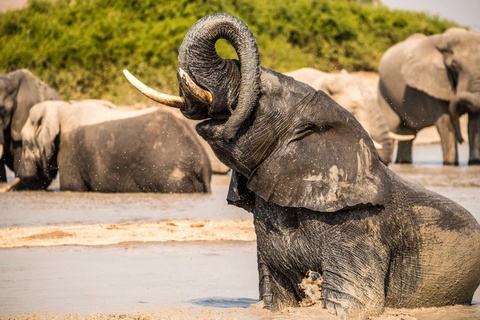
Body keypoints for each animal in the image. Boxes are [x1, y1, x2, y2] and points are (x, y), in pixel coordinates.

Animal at [3, 100, 210, 192]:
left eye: (25, 144)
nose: (19, 174)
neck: (61, 107)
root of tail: (202, 165)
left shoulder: (68, 148)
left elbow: (72, 187)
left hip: (170, 177)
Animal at [376, 28, 480, 165]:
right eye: (454, 66)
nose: (461, 140)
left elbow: (474, 124)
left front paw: (474, 163)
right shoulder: (432, 84)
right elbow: (446, 124)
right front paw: (450, 164)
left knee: (408, 133)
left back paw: (404, 163)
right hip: (383, 90)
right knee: (392, 126)